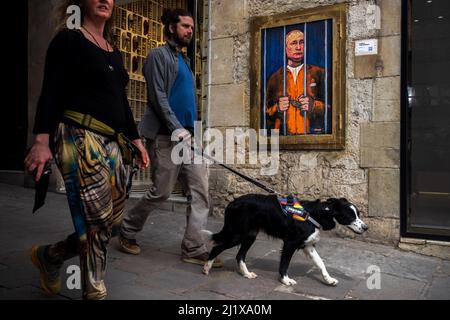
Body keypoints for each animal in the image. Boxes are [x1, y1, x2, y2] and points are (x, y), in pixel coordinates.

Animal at [202, 194, 368, 286]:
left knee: (239, 255)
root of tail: (232, 203)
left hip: (250, 235)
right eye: (350, 216)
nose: (366, 227)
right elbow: (285, 263)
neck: (315, 214)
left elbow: (321, 263)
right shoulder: (290, 243)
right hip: (237, 234)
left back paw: (246, 274)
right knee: (217, 247)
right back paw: (206, 268)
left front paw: (329, 280)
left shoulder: (308, 245)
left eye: (358, 214)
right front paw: (285, 280)